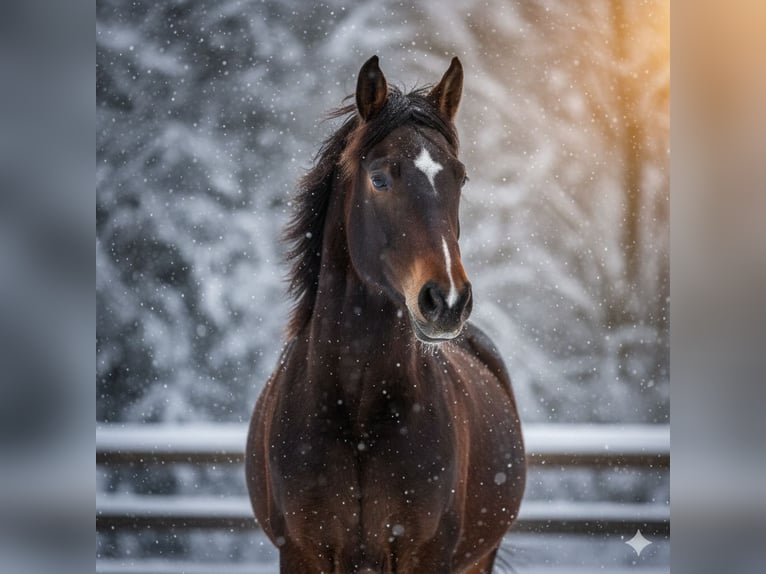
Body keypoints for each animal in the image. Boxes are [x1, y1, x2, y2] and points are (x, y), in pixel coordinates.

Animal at [246, 55, 526, 574]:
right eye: (379, 178)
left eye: (460, 177)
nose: (447, 301)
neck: (356, 411)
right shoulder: (302, 551)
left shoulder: (426, 552)